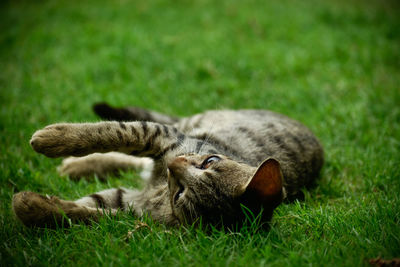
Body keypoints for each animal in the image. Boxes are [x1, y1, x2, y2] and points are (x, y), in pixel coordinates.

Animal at [12, 103, 324, 229]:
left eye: (181, 195)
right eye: (210, 161)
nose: (175, 163)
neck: (160, 186)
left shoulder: (131, 207)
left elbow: (83, 212)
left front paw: (32, 206)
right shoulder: (163, 138)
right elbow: (112, 131)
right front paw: (54, 138)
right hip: (188, 126)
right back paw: (79, 165)